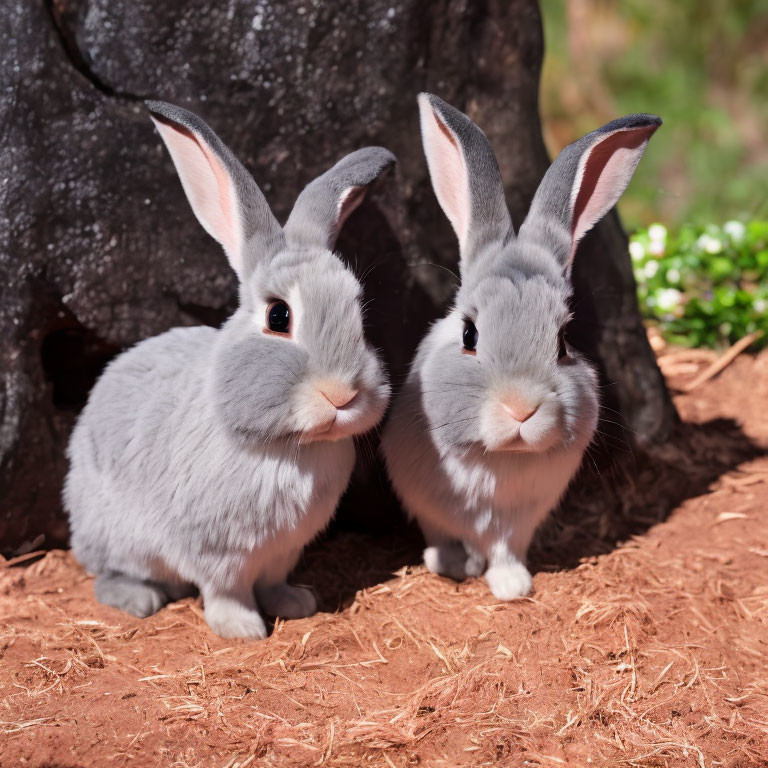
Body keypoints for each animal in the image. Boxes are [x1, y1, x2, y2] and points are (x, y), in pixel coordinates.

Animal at [64, 103, 396, 640]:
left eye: (360, 316)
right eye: (279, 317)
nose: (342, 396)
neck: (288, 448)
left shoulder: (284, 549)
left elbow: (274, 581)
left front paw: (296, 604)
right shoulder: (216, 552)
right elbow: (227, 591)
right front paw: (243, 629)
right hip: (112, 532)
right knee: (107, 572)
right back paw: (139, 598)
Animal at [382, 94, 660, 600]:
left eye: (563, 341)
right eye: (469, 335)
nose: (520, 408)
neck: (500, 458)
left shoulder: (519, 519)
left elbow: (506, 550)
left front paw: (512, 586)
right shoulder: (429, 504)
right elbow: (443, 535)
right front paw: (451, 566)